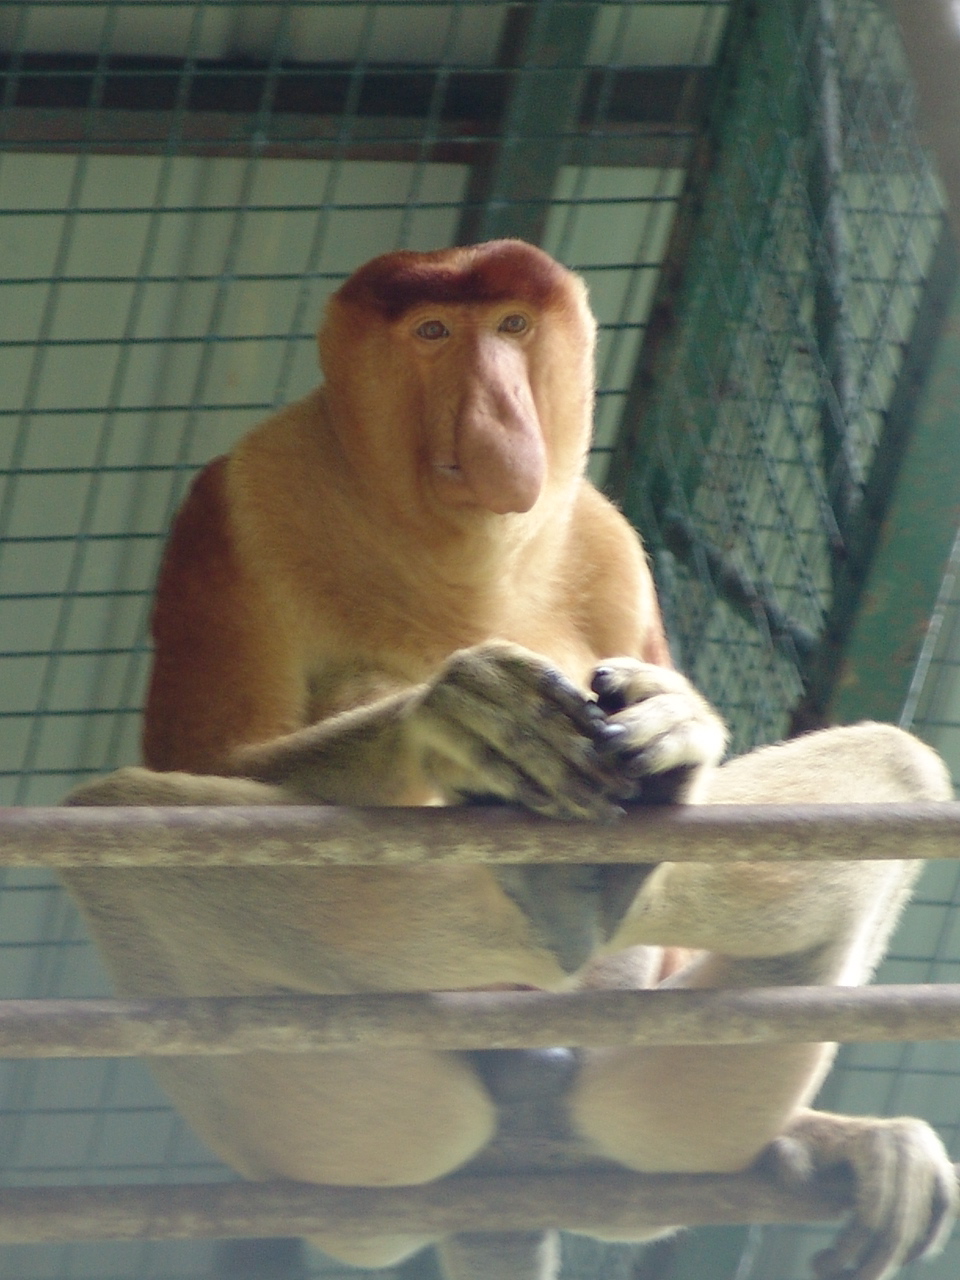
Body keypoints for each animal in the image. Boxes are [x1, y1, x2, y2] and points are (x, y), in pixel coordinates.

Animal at [63, 240, 957, 1280]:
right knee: (118, 830)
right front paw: (461, 711)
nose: (499, 416)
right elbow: (214, 758)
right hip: (361, 1146)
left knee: (896, 769)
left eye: (512, 327)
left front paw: (678, 726)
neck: (461, 551)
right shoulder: (242, 499)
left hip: (633, 1115)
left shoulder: (610, 545)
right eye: (433, 332)